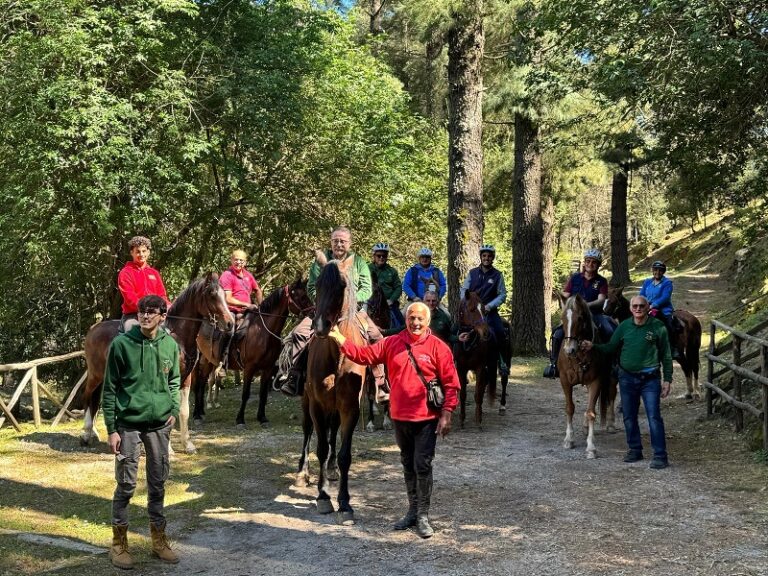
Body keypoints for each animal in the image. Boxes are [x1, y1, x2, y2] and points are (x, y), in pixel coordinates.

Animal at [80, 274, 234, 454]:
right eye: (211, 294)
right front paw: (167, 448)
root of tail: (94, 329)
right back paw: (86, 434)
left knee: (96, 400)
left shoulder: (186, 378)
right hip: (95, 374)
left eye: (224, 294)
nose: (230, 323)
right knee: (87, 396)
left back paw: (95, 433)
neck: (177, 337)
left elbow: (183, 411)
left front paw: (188, 445)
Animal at [192, 274, 312, 428]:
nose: (314, 312)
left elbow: (263, 394)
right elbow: (246, 394)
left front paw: (262, 418)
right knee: (199, 384)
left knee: (202, 383)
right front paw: (240, 420)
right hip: (202, 360)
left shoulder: (268, 369)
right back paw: (196, 414)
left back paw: (201, 412)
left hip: (209, 361)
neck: (263, 332)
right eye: (301, 296)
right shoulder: (249, 368)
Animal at [296, 254, 368, 524]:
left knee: (333, 431)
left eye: (342, 286)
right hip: (307, 402)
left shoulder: (350, 408)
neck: (337, 356)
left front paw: (345, 503)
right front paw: (324, 496)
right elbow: (321, 448)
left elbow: (344, 454)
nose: (320, 326)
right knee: (307, 432)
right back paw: (303, 472)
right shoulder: (317, 405)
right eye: (317, 285)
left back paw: (332, 470)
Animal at [452, 290, 508, 426]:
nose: (485, 332)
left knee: (504, 381)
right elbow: (463, 394)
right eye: (472, 309)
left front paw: (478, 421)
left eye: (483, 309)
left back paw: (502, 406)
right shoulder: (461, 368)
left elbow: (478, 393)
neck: (469, 344)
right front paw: (462, 419)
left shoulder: (479, 367)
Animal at [556, 294, 616, 456]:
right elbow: (570, 408)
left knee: (611, 396)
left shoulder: (596, 381)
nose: (569, 350)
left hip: (612, 378)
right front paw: (568, 440)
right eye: (563, 318)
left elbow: (591, 412)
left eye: (580, 318)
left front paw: (591, 447)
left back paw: (611, 424)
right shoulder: (565, 381)